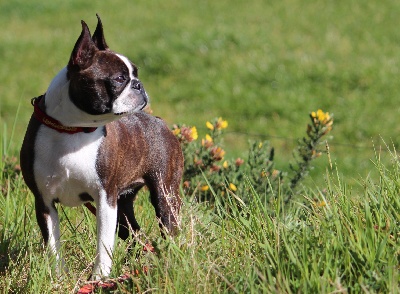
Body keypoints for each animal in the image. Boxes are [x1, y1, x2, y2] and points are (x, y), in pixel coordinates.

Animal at [20, 14, 184, 280]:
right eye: (119, 79)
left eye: (135, 74)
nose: (139, 85)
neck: (73, 129)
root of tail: (159, 121)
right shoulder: (44, 201)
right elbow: (53, 245)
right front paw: (59, 279)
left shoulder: (106, 199)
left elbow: (103, 244)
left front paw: (99, 278)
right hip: (124, 202)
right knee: (135, 232)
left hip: (164, 193)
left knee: (168, 227)